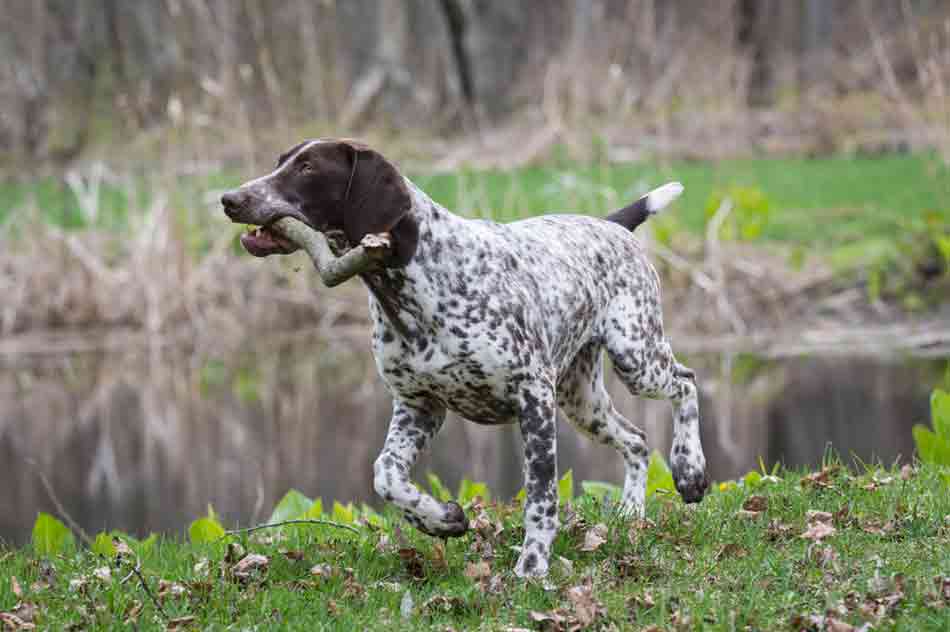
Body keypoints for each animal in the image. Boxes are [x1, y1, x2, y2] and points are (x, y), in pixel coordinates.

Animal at [218, 139, 708, 576]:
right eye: (280, 161)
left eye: (307, 168)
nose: (230, 199)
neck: (413, 282)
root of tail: (611, 225)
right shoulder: (419, 406)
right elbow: (386, 475)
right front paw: (440, 519)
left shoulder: (533, 398)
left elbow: (541, 497)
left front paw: (533, 566)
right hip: (581, 398)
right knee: (638, 440)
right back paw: (631, 512)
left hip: (635, 357)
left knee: (686, 383)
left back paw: (690, 470)